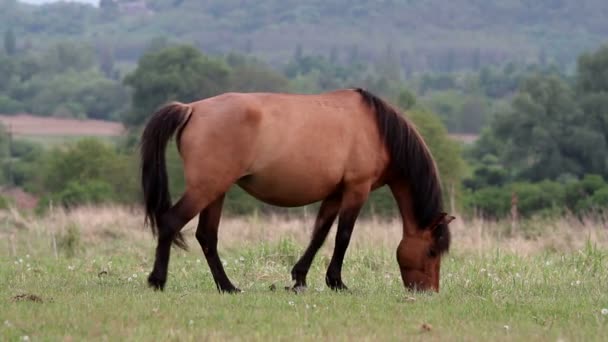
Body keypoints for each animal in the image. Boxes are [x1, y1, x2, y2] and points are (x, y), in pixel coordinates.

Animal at [140, 89, 454, 294]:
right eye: (431, 251)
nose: (428, 291)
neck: (378, 130)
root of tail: (191, 108)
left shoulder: (335, 193)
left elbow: (319, 234)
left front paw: (299, 278)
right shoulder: (357, 189)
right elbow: (343, 236)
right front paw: (337, 282)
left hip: (216, 191)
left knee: (207, 236)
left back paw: (227, 286)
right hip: (206, 189)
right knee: (170, 222)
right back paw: (158, 281)